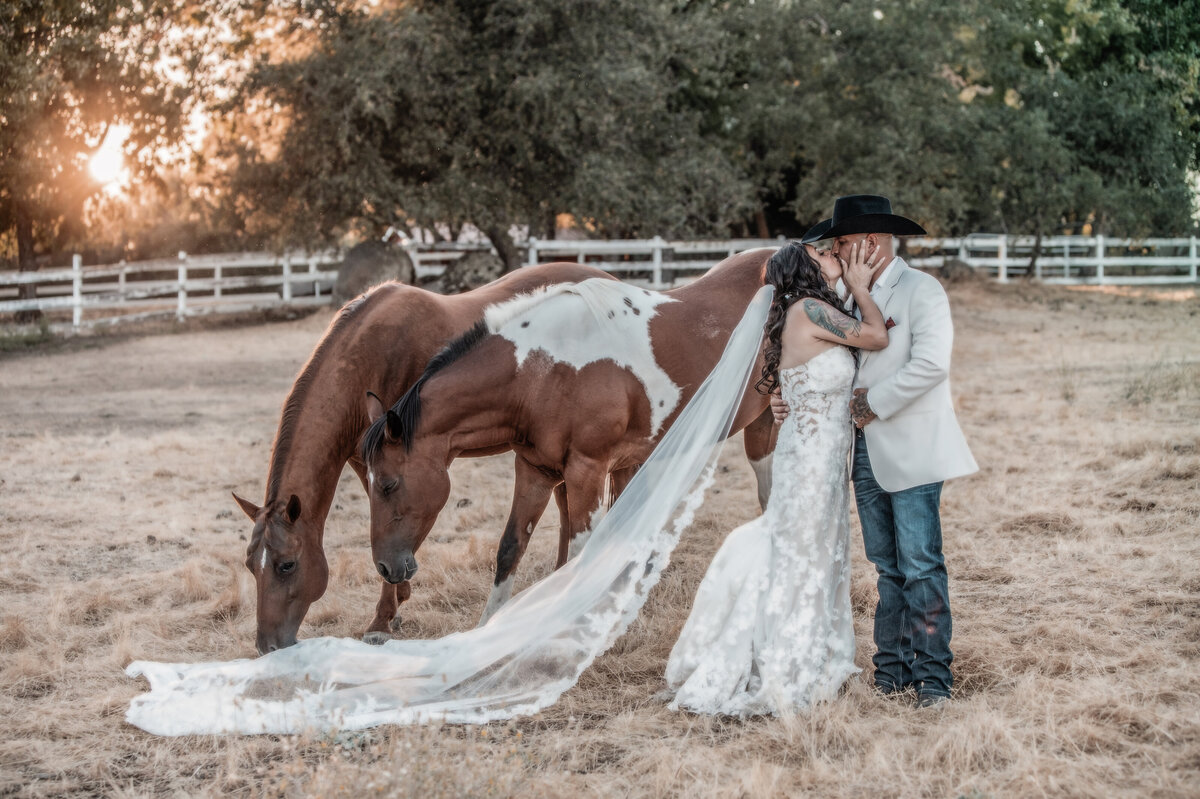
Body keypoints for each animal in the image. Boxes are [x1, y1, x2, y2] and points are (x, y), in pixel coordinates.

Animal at [230, 263, 624, 652]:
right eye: (250, 565)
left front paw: (383, 619)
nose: (266, 646)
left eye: (286, 565)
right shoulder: (366, 463)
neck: (366, 357)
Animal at [360, 245, 782, 619]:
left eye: (389, 484)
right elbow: (510, 548)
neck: (543, 372)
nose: (384, 567)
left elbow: (582, 555)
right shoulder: (535, 470)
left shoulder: (587, 471)